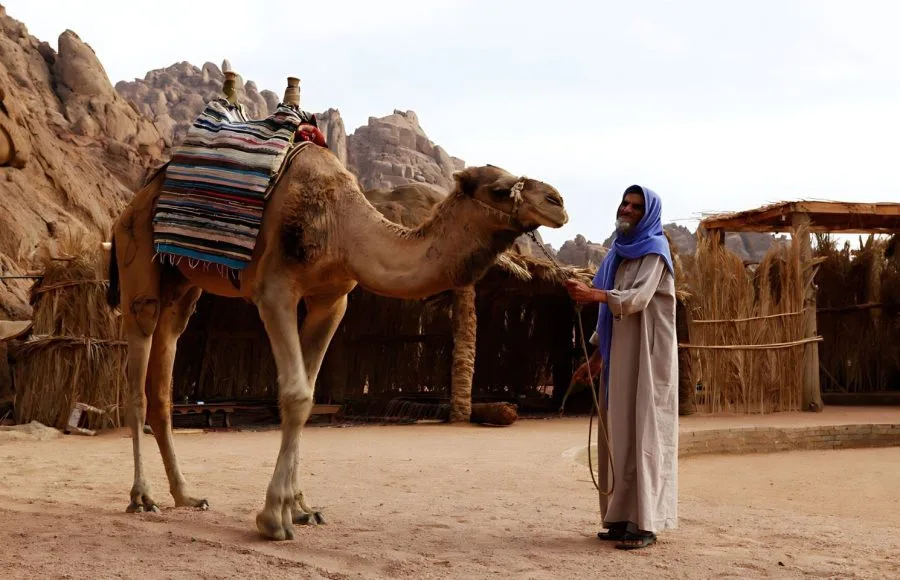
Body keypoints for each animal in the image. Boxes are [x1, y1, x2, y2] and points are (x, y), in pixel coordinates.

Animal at [105, 142, 569, 541]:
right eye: (501, 188)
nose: (558, 202)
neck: (344, 230)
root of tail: (134, 201)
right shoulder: (275, 290)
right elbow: (295, 394)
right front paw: (273, 518)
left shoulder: (332, 300)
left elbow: (309, 396)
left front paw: (301, 508)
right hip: (136, 259)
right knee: (138, 377)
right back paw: (142, 498)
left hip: (182, 285)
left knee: (165, 373)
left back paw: (186, 495)